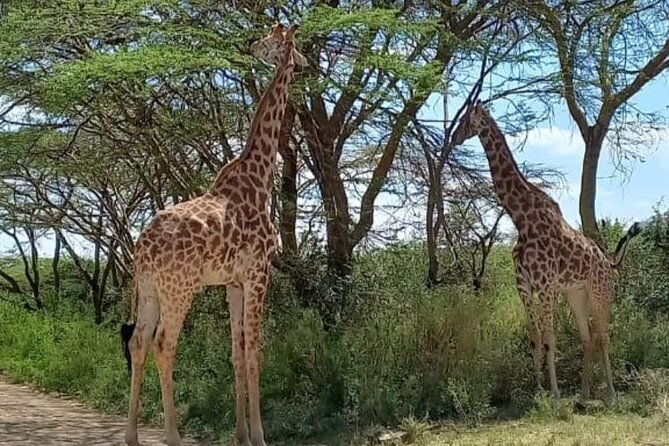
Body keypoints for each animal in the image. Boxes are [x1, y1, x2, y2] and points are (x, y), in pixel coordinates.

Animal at [120, 23, 307, 446]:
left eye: (266, 42)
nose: (250, 46)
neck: (259, 177)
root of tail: (142, 248)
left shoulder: (232, 283)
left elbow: (236, 352)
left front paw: (240, 433)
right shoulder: (258, 274)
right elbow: (255, 352)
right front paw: (259, 435)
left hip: (150, 289)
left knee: (138, 342)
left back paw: (132, 436)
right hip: (180, 288)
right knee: (164, 344)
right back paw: (172, 435)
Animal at [451, 100, 645, 402]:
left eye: (464, 119)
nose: (454, 138)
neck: (522, 219)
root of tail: (608, 261)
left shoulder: (545, 285)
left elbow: (550, 338)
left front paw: (553, 393)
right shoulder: (523, 285)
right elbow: (536, 336)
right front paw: (538, 390)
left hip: (600, 291)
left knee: (603, 336)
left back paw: (611, 394)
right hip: (576, 294)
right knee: (587, 336)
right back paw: (583, 395)